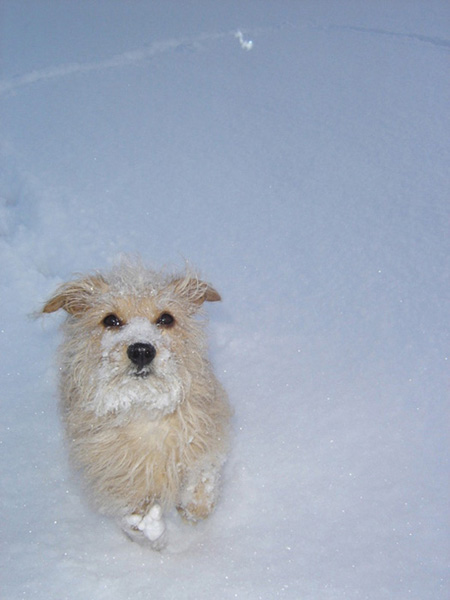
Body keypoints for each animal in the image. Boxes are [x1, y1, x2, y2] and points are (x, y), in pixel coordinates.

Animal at [41, 258, 232, 548]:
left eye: (166, 318)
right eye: (110, 320)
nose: (141, 349)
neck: (143, 407)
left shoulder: (206, 433)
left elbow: (203, 471)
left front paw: (195, 505)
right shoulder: (112, 472)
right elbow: (132, 510)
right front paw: (148, 528)